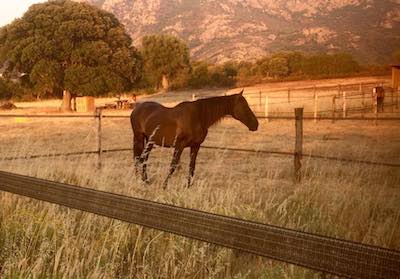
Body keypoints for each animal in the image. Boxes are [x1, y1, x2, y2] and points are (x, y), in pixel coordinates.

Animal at [130, 91, 258, 189]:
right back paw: (138, 180)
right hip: (138, 137)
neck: (198, 116)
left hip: (150, 141)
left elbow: (192, 167)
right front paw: (164, 186)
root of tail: (136, 109)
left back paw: (146, 181)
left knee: (144, 159)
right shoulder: (180, 145)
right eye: (244, 107)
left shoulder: (195, 146)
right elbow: (173, 165)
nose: (256, 125)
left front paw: (188, 187)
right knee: (138, 158)